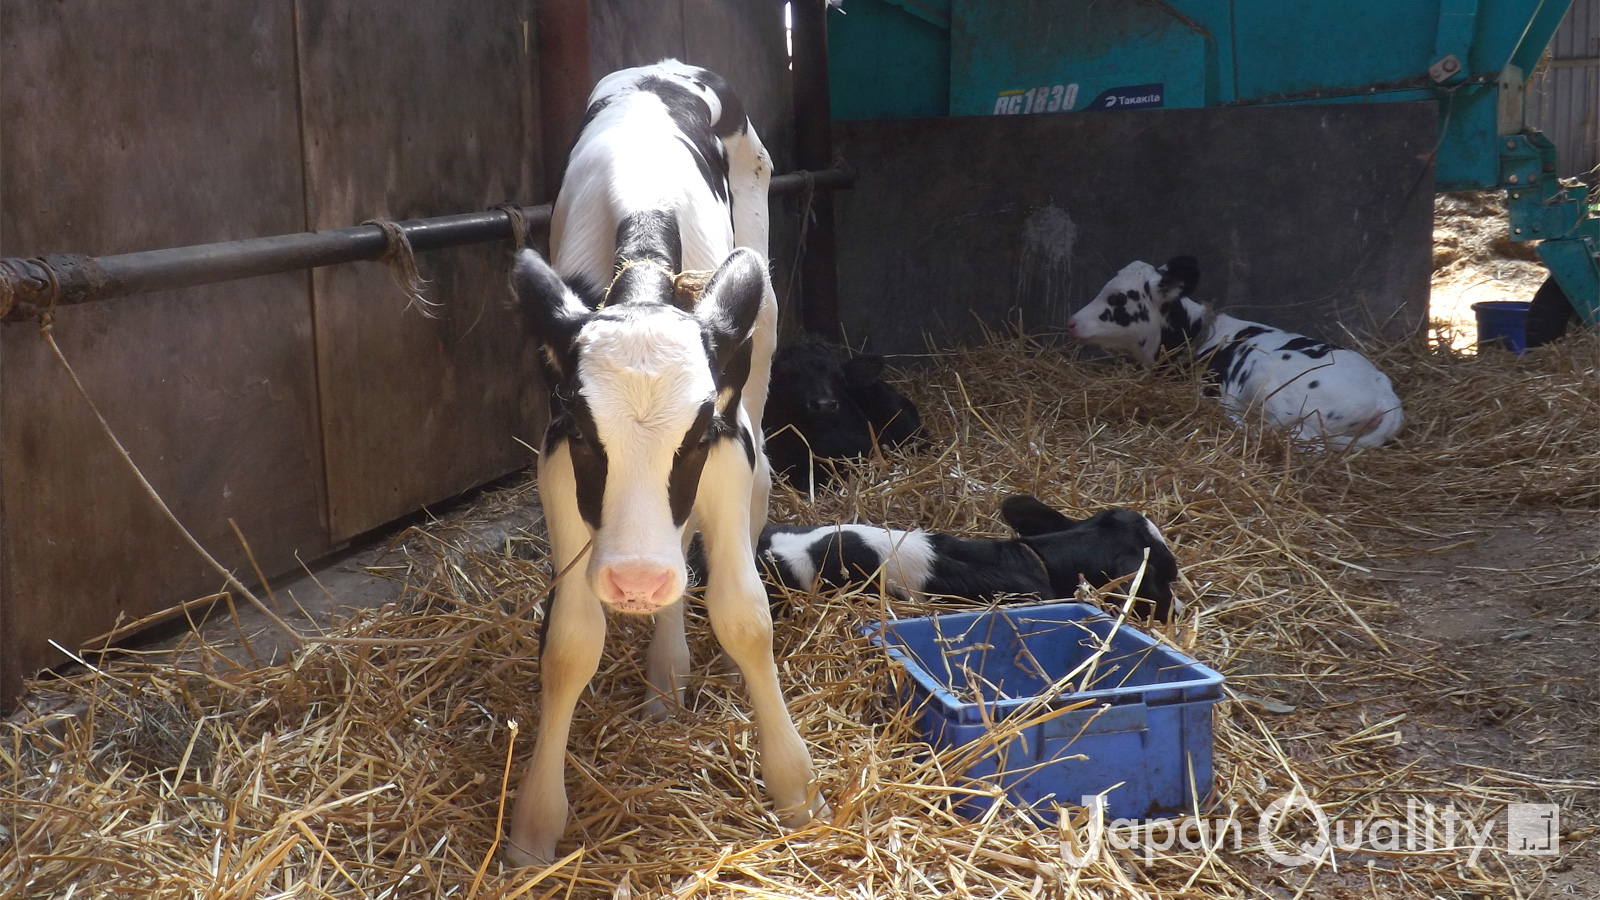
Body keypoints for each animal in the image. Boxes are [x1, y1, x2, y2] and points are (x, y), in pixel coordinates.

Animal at [505, 61, 825, 864]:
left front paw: (794, 785)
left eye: (700, 431)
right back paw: (665, 670)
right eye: (586, 434)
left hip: (761, 314)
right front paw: (534, 825)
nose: (636, 582)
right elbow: (570, 642)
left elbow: (745, 615)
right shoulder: (557, 463)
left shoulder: (728, 443)